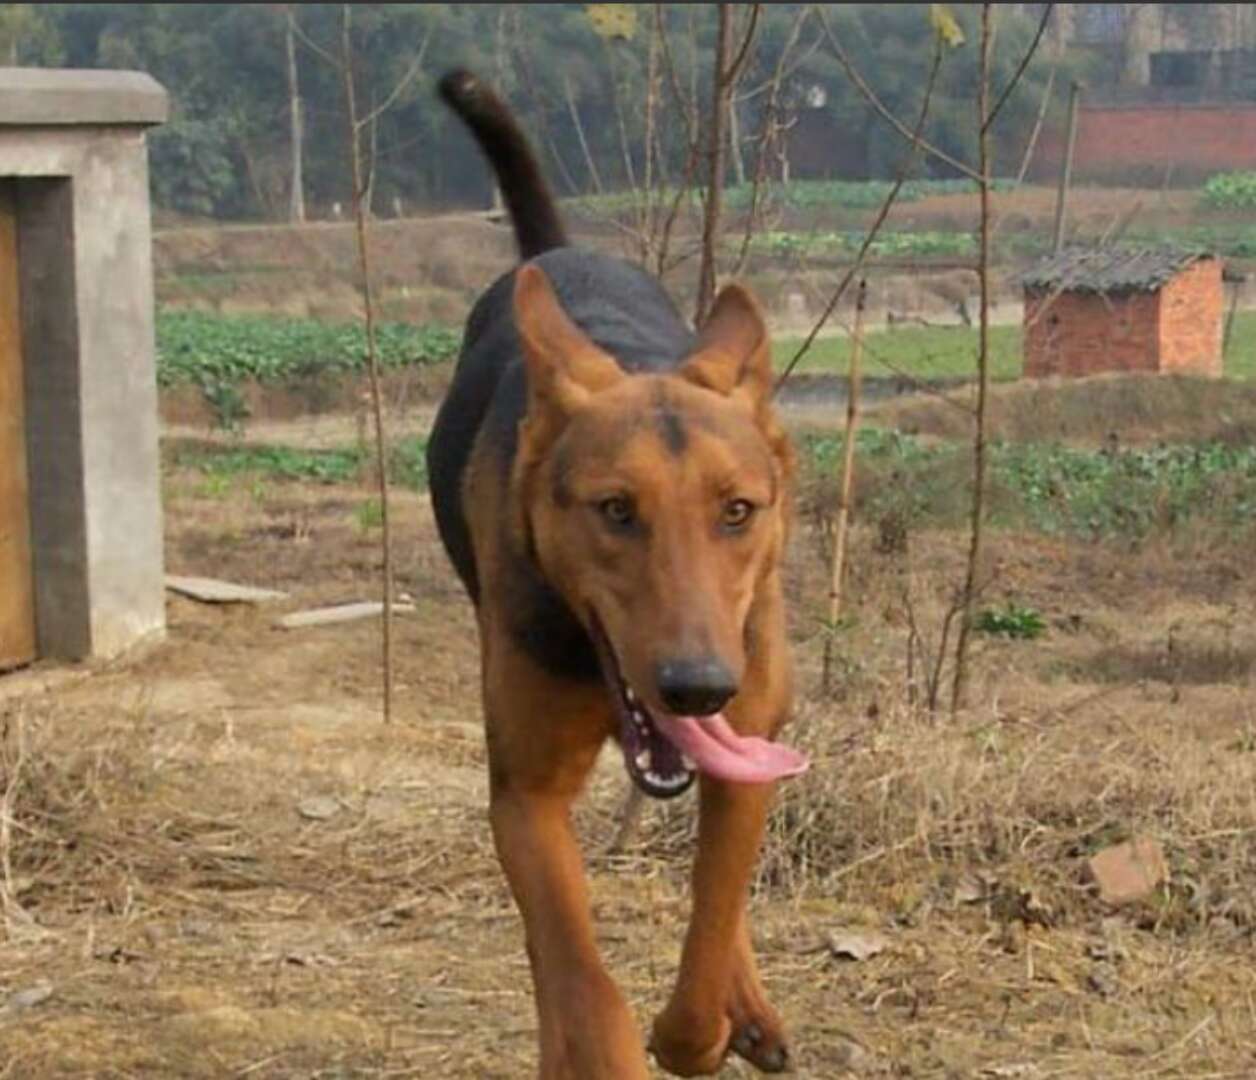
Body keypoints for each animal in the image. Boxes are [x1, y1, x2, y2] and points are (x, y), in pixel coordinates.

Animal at [427, 71, 808, 1074]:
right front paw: (602, 1042)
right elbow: (580, 976)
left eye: (737, 511)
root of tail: (559, 253)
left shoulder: (747, 741)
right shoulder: (525, 795)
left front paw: (702, 1027)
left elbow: (713, 920)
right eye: (614, 511)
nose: (697, 687)